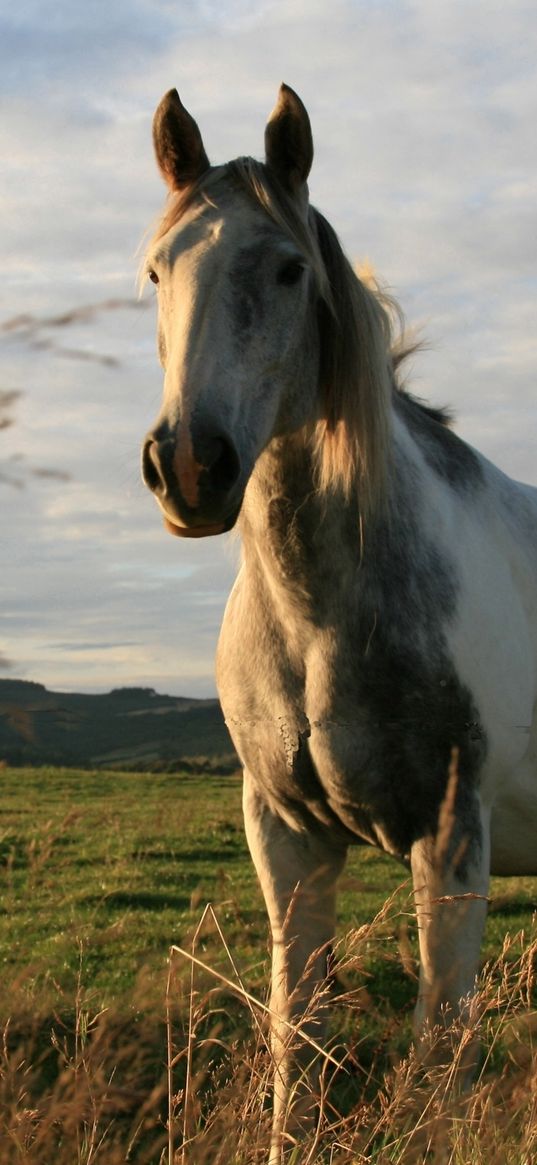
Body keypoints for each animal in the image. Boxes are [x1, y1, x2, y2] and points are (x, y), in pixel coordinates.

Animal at [141, 84, 535, 1165]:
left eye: (286, 267)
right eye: (155, 271)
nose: (188, 465)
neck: (319, 617)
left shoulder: (451, 841)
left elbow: (439, 1060)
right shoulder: (287, 839)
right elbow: (297, 1050)